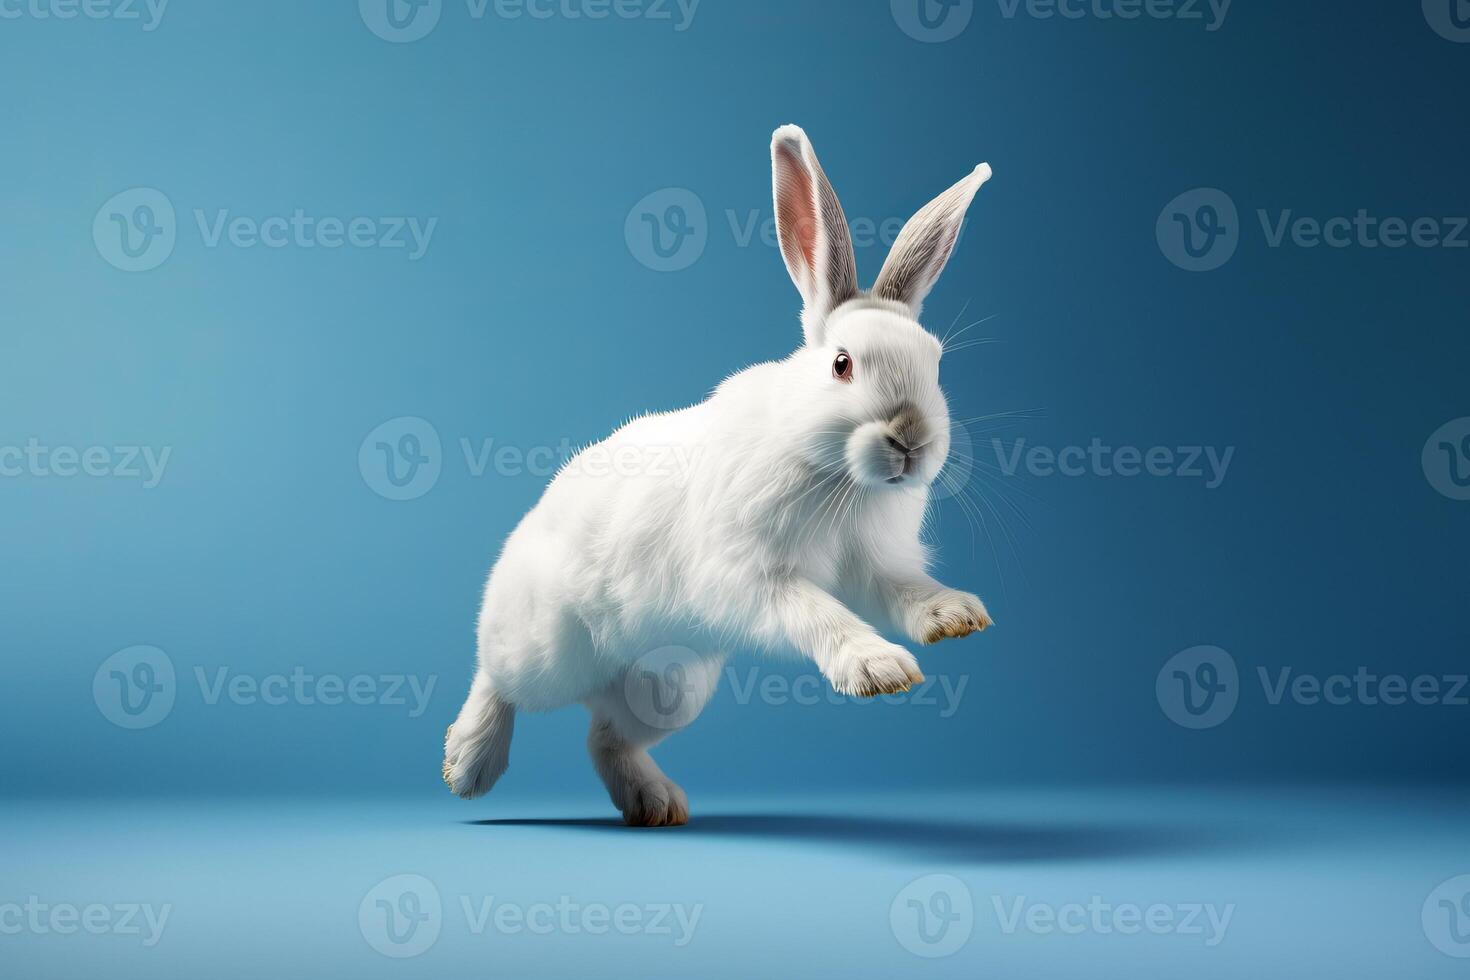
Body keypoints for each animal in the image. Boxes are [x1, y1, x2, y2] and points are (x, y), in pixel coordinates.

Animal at [443, 124, 999, 828]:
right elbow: (816, 612)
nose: (913, 441)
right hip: (544, 648)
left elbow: (902, 590)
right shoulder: (751, 576)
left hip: (672, 687)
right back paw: (467, 763)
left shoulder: (872, 565)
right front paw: (879, 668)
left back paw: (656, 804)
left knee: (604, 737)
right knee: (497, 678)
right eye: (843, 364)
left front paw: (954, 615)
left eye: (935, 363)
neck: (834, 474)